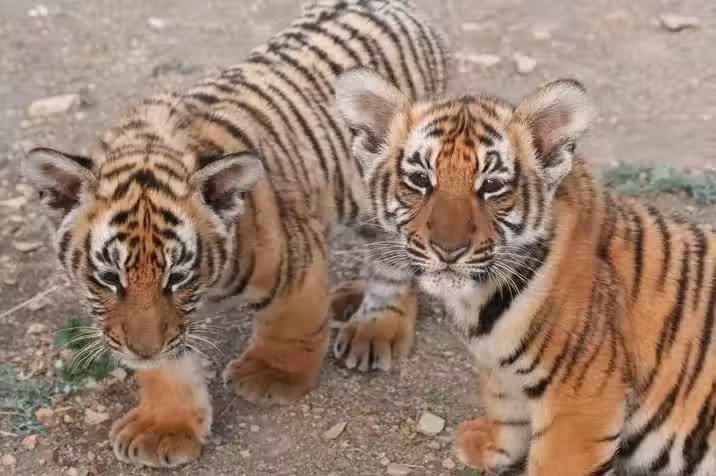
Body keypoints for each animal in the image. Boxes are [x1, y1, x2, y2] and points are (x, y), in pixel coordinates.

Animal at [21, 0, 448, 468]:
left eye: (177, 277)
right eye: (109, 278)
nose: (143, 350)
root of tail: (400, 9)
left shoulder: (295, 260)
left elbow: (290, 325)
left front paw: (270, 375)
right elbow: (169, 367)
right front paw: (163, 427)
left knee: (395, 264)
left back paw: (376, 329)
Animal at [335, 69, 716, 475]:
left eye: (491, 186)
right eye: (421, 180)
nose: (448, 250)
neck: (480, 300)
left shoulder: (582, 397)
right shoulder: (501, 370)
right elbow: (505, 408)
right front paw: (488, 444)